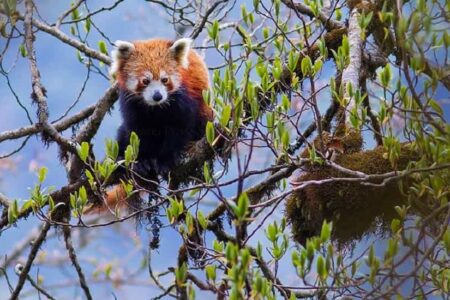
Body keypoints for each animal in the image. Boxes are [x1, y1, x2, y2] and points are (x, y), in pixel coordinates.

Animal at [88, 38, 214, 213]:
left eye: (164, 79)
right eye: (145, 81)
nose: (157, 95)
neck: (156, 108)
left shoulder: (185, 99)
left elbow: (180, 128)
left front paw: (166, 160)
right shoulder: (132, 106)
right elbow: (138, 132)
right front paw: (142, 161)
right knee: (123, 135)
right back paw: (120, 159)